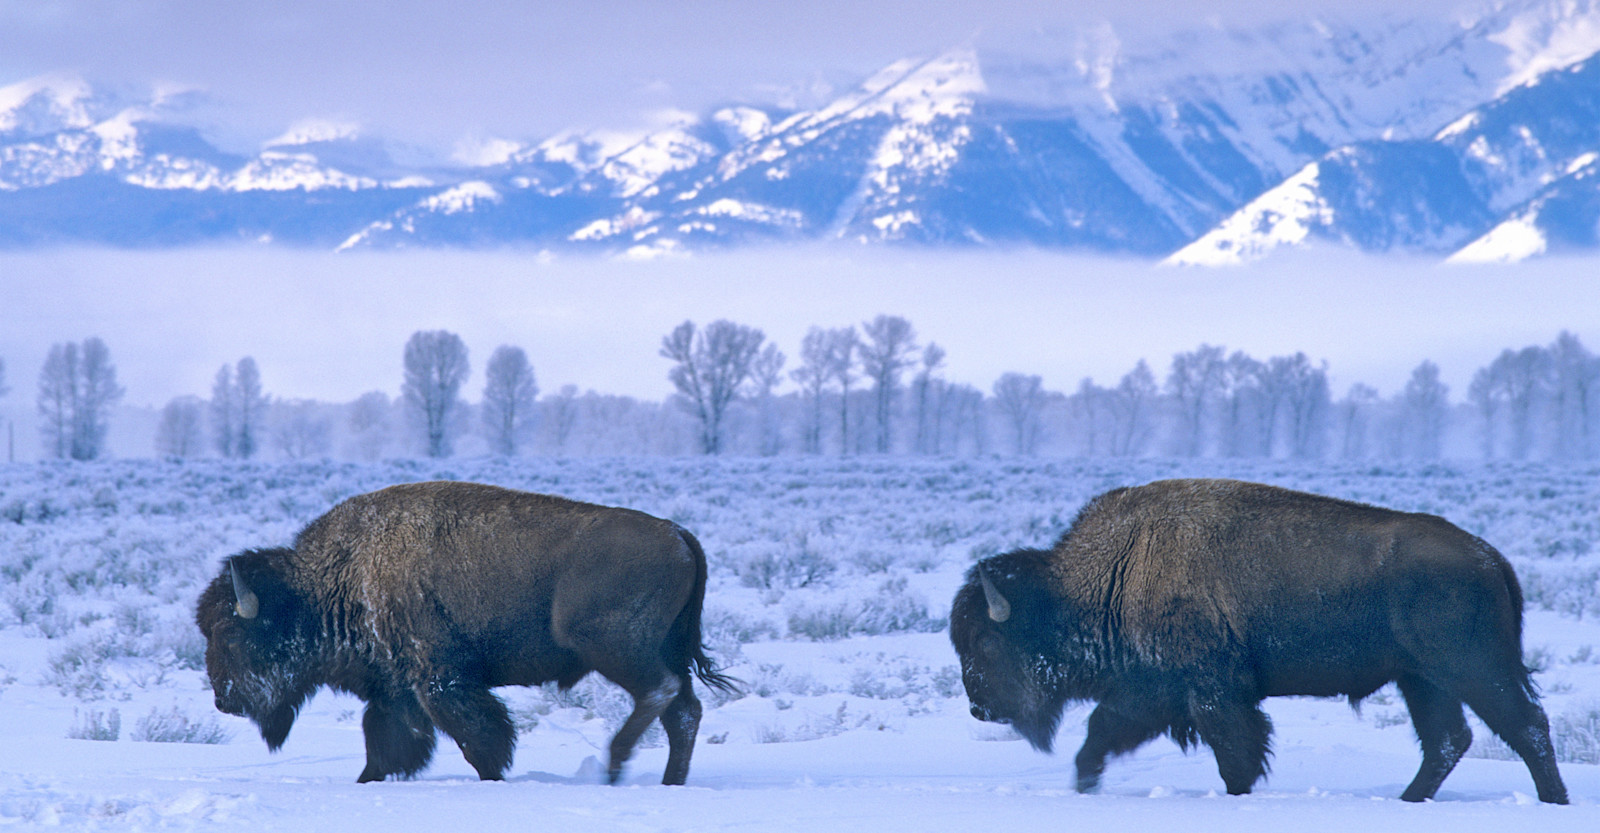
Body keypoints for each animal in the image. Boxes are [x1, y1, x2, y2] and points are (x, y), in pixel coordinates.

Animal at [195, 479, 736, 786]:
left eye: (233, 634)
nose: (223, 699)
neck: (338, 577)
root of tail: (678, 534)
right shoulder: (395, 689)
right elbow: (385, 747)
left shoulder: (441, 681)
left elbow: (479, 739)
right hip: (658, 649)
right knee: (682, 710)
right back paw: (668, 783)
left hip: (615, 648)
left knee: (660, 692)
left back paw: (614, 765)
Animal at [947, 476, 1561, 802]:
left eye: (986, 642)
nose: (979, 708)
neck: (1115, 570)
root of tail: (1492, 559)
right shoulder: (1150, 690)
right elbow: (1100, 734)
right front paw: (1084, 785)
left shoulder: (1212, 693)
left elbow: (1235, 754)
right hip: (1422, 680)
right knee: (1448, 740)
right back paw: (1407, 801)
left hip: (1472, 669)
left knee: (1525, 726)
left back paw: (1553, 801)